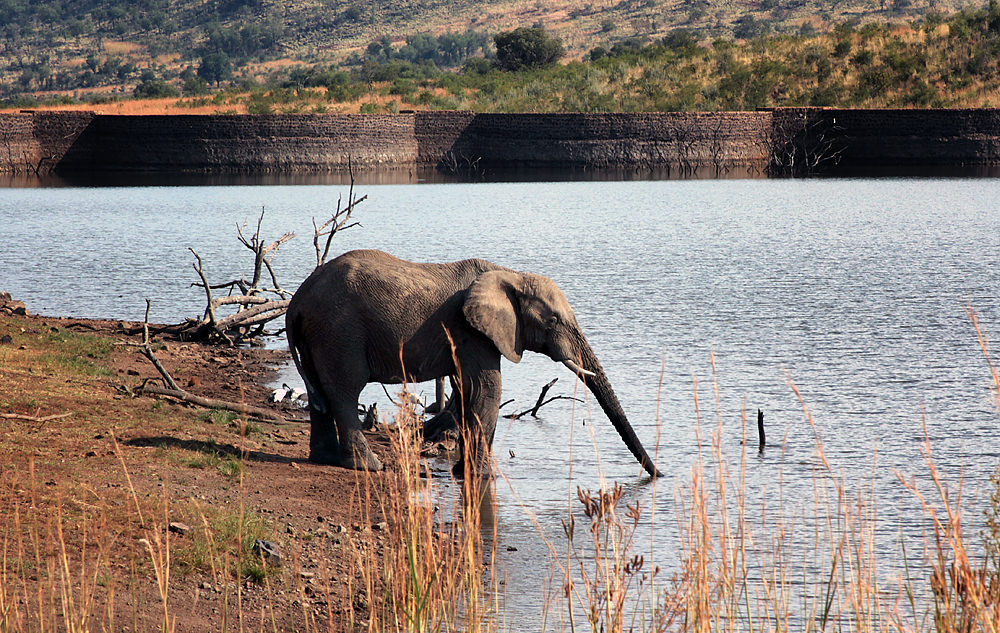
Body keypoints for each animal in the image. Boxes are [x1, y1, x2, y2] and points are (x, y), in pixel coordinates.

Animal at [285, 249, 662, 478]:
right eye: (553, 321)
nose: (659, 475)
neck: (510, 275)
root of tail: (297, 299)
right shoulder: (472, 331)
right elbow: (487, 389)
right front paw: (480, 476)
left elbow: (468, 392)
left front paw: (463, 473)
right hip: (338, 330)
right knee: (345, 392)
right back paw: (368, 466)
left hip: (318, 334)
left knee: (320, 392)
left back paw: (323, 459)